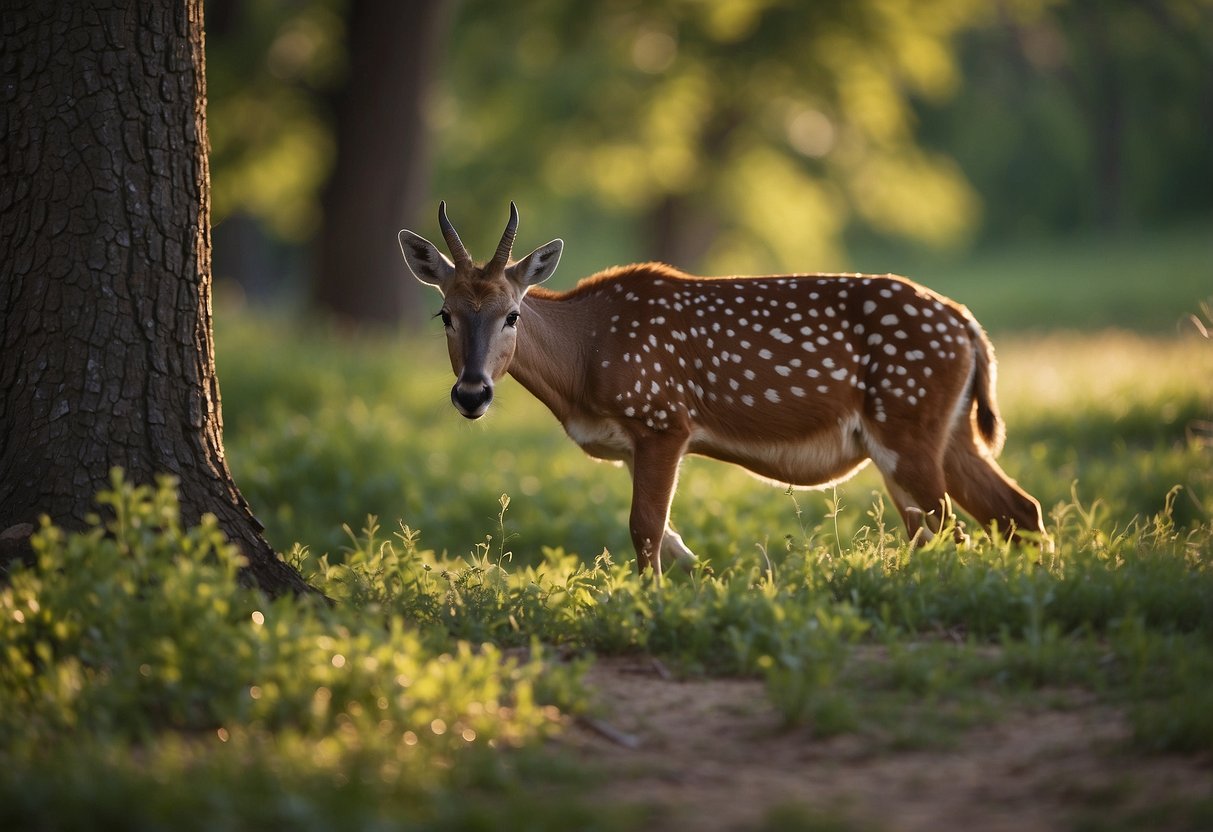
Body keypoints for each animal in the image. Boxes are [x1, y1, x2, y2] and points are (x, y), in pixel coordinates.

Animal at [397, 204, 1043, 577]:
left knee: (950, 528)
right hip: (948, 430)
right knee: (1015, 511)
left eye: (511, 314)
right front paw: (705, 581)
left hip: (906, 422)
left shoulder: (662, 418)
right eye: (444, 313)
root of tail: (969, 326)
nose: (472, 394)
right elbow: (670, 538)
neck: (586, 360)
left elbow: (644, 530)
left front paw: (649, 607)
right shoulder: (630, 445)